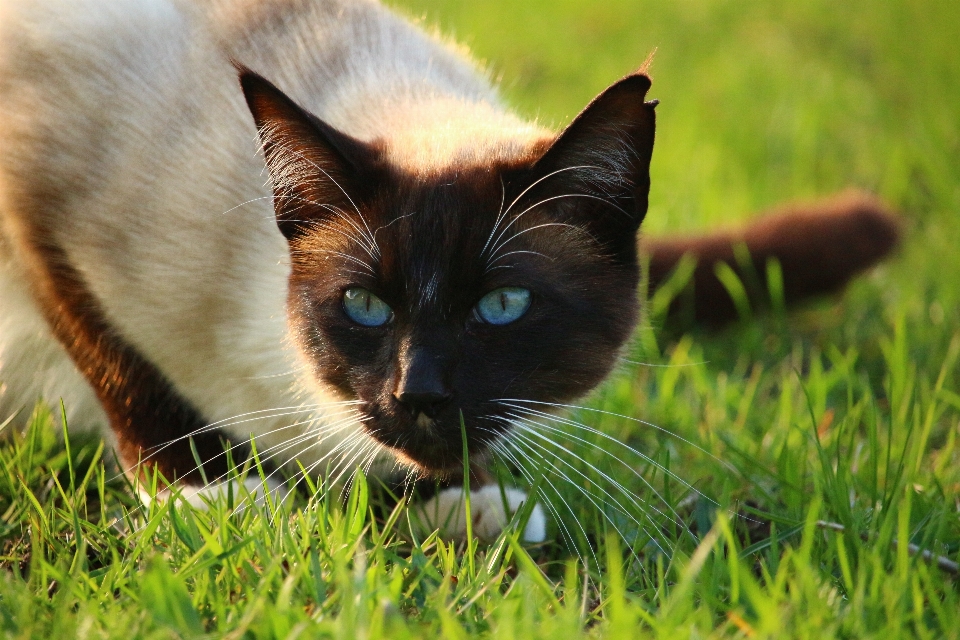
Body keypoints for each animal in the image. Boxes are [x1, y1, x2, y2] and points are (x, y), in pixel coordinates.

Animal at [0, 0, 900, 544]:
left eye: (503, 305)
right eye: (365, 306)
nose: (419, 394)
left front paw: (468, 500)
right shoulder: (33, 196)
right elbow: (114, 356)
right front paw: (205, 494)